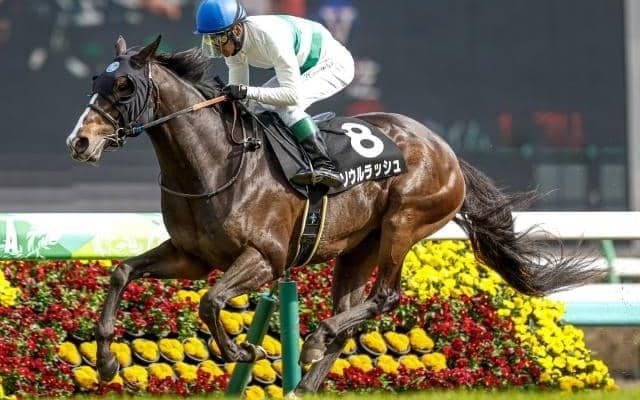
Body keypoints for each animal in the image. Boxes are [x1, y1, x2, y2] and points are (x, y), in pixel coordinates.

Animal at [66, 35, 601, 394]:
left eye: (124, 85)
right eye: (96, 80)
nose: (80, 141)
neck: (215, 162)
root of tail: (444, 148)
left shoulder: (265, 257)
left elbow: (211, 302)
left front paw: (242, 350)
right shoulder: (190, 256)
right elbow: (122, 272)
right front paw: (108, 361)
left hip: (405, 222)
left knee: (384, 297)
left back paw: (316, 340)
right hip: (357, 249)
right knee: (354, 314)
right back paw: (307, 378)